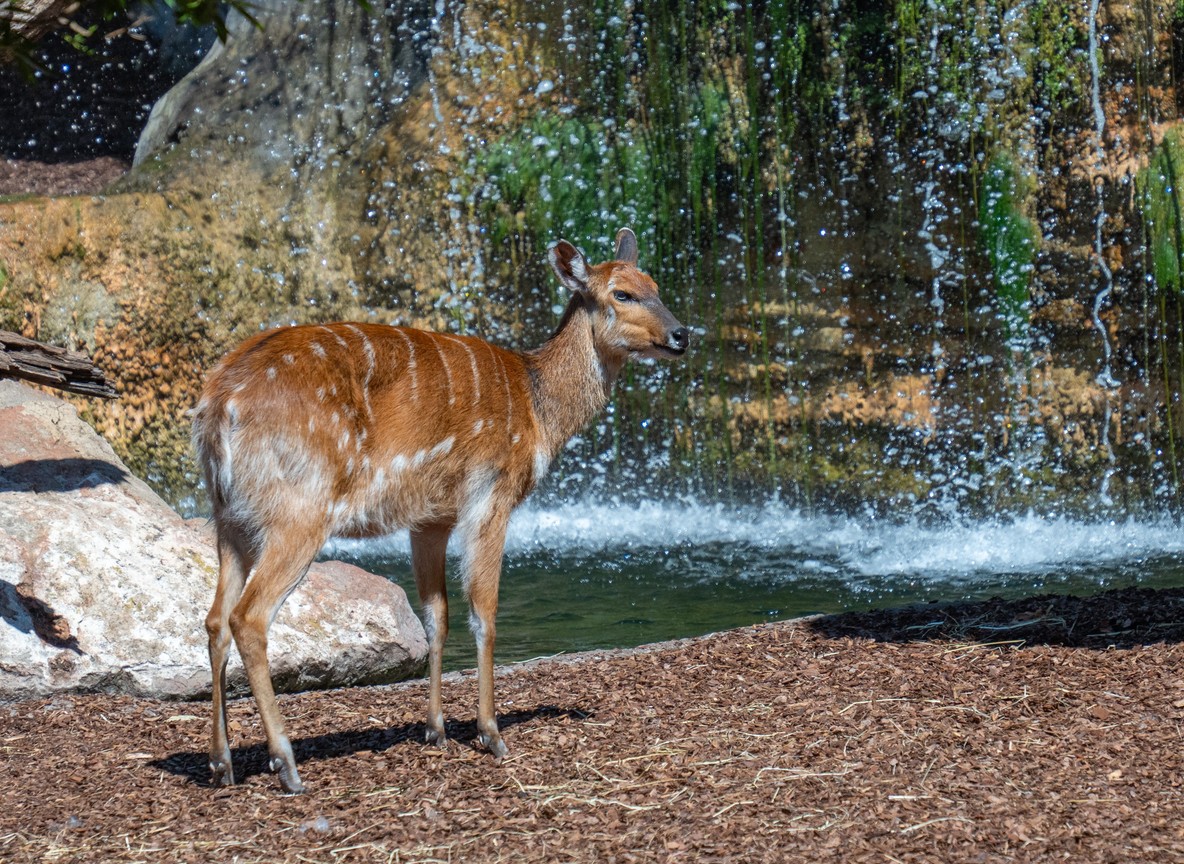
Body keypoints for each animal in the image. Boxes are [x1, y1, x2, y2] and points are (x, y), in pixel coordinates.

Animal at [192, 228, 689, 793]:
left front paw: (436, 730)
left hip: (228, 514)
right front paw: (490, 733)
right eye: (621, 294)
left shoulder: (430, 518)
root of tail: (219, 406)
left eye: (655, 286)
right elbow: (484, 613)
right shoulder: (491, 493)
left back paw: (222, 763)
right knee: (247, 616)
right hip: (299, 507)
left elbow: (437, 616)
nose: (682, 335)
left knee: (213, 618)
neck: (539, 413)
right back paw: (287, 764)